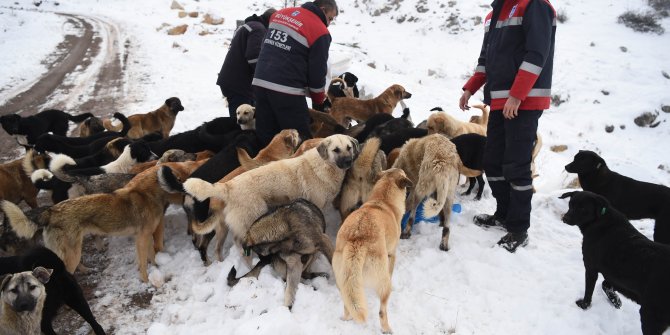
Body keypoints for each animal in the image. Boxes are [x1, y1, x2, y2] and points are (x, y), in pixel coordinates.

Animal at [0, 160, 205, 284]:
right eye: (178, 178)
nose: (186, 188)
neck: (148, 193)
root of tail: (49, 212)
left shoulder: (145, 237)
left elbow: (151, 257)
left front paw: (157, 269)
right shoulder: (142, 238)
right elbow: (144, 263)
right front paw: (147, 282)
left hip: (73, 251)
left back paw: (86, 270)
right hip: (72, 253)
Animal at [178, 133, 356, 247]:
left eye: (349, 147)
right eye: (336, 150)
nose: (349, 161)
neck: (324, 165)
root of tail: (229, 186)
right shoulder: (316, 206)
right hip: (254, 217)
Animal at [334, 169, 412, 334]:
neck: (383, 200)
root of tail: (357, 240)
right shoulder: (391, 254)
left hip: (343, 281)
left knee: (348, 304)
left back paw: (347, 319)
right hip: (383, 283)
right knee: (382, 311)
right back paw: (387, 329)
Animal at [560, 192, 670, 335]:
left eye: (583, 208)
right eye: (570, 204)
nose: (565, 218)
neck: (599, 220)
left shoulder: (591, 267)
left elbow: (589, 291)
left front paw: (584, 305)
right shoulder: (615, 275)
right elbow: (606, 284)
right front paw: (616, 301)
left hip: (651, 316)